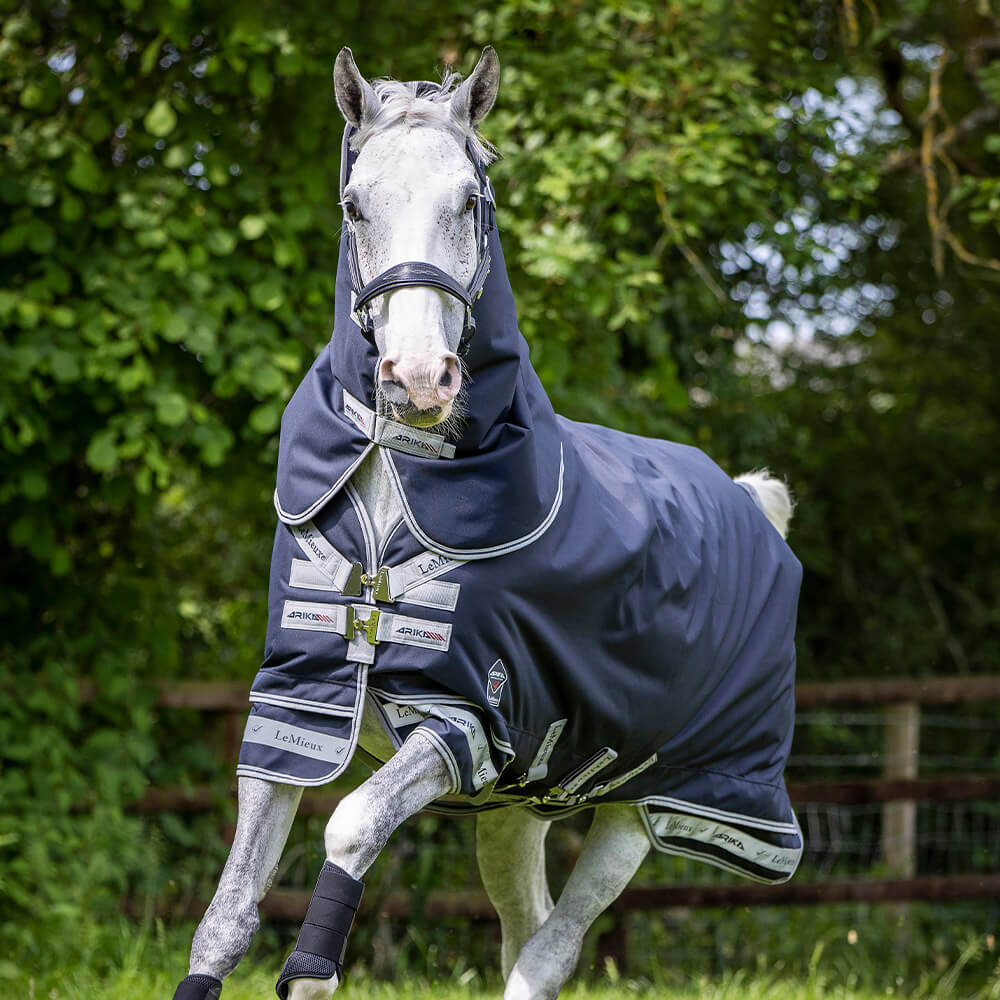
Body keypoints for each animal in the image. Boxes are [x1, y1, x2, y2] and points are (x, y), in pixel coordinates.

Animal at [171, 46, 803, 1000]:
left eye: (470, 199)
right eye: (355, 204)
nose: (417, 378)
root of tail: (747, 498)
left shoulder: (461, 718)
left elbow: (350, 829)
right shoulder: (297, 708)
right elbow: (227, 912)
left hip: (651, 804)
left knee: (548, 950)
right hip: (518, 806)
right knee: (522, 927)